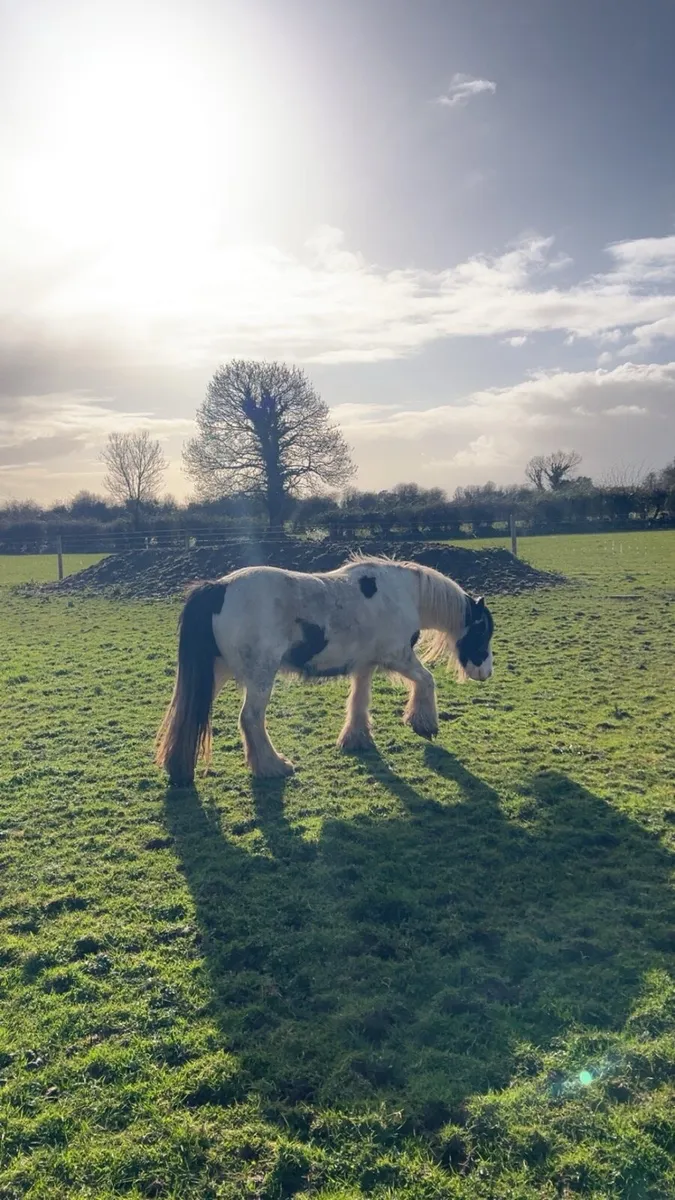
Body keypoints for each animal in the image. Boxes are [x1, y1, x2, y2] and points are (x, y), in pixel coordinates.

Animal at [155, 555, 494, 786]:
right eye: (483, 631)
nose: (486, 672)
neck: (402, 594)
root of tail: (218, 588)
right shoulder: (399, 657)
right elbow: (426, 680)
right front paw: (424, 723)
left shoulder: (365, 664)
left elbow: (359, 700)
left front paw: (356, 738)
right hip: (260, 675)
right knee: (250, 719)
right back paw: (273, 766)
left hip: (216, 672)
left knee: (187, 715)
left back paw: (178, 766)